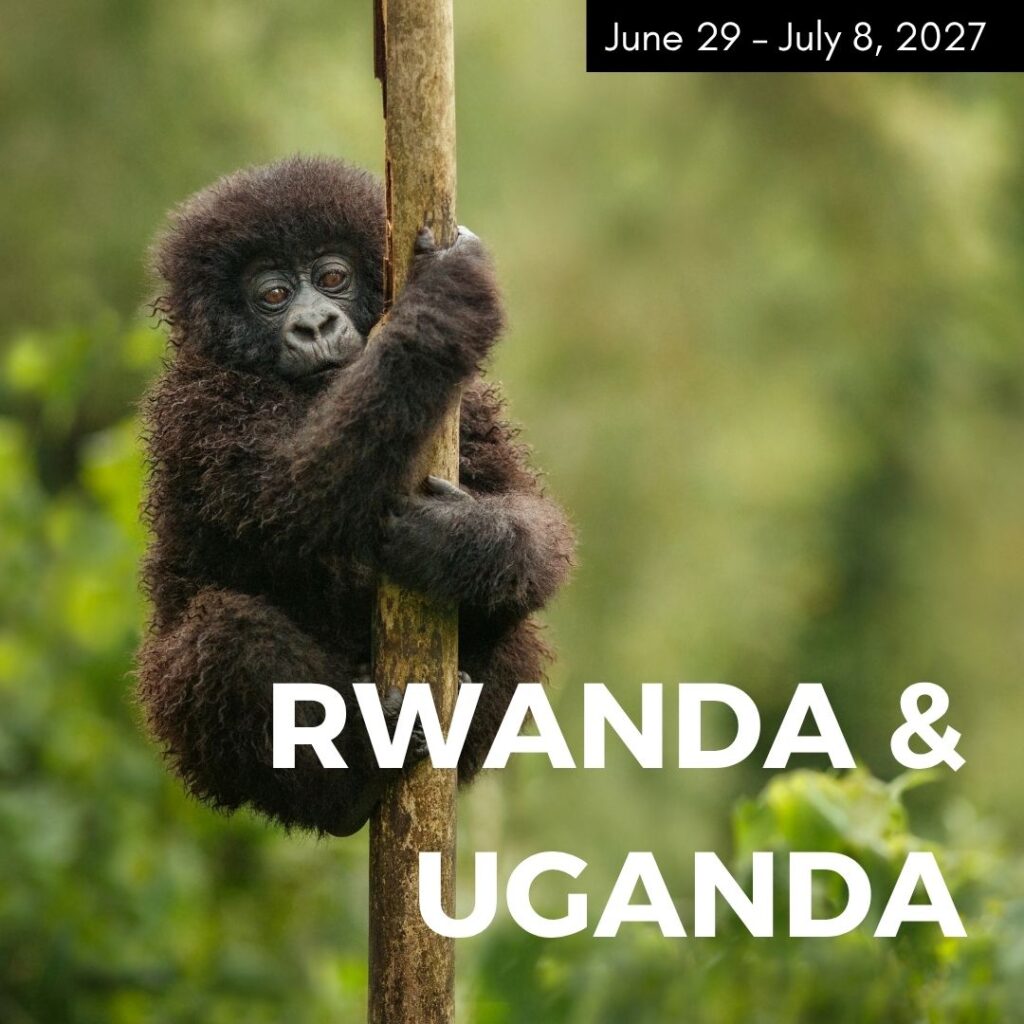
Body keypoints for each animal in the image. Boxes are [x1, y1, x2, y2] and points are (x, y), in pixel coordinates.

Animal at [135, 156, 575, 836]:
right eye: (272, 295)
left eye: (333, 277)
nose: (315, 323)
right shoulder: (198, 410)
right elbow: (295, 494)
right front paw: (442, 304)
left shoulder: (470, 407)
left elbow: (532, 522)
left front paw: (456, 543)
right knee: (224, 638)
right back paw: (357, 773)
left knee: (517, 624)